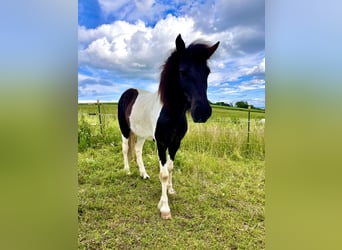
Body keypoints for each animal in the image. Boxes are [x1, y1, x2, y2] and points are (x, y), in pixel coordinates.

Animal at [117, 33, 219, 219]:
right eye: (182, 71)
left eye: (207, 72)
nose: (202, 112)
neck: (171, 112)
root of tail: (128, 92)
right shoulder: (162, 143)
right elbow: (163, 174)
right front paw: (164, 208)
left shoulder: (175, 143)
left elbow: (170, 168)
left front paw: (171, 190)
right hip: (125, 130)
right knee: (125, 148)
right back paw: (127, 171)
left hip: (141, 134)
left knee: (137, 150)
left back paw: (143, 174)